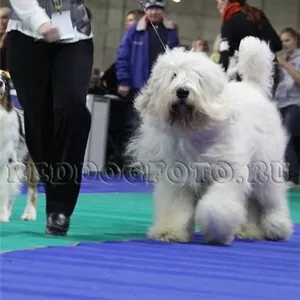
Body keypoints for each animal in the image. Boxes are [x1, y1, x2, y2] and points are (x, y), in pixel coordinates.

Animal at [126, 36, 292, 245]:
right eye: (173, 75)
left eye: (197, 78)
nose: (182, 92)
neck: (193, 131)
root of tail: (252, 86)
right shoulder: (177, 178)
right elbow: (175, 207)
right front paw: (170, 231)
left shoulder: (228, 172)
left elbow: (216, 208)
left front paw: (217, 232)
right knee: (252, 205)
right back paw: (249, 231)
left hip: (266, 166)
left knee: (272, 200)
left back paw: (278, 226)